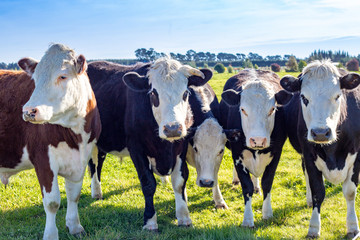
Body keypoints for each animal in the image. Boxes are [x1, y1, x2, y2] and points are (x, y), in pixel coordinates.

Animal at [0, 43, 100, 240]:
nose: (29, 111)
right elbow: (52, 202)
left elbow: (74, 195)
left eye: (63, 76)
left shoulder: (82, 158)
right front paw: (51, 235)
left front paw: (75, 226)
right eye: (35, 79)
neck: (76, 136)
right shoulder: (43, 160)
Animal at [86, 58, 212, 231]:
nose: (172, 128)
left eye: (186, 93)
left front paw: (184, 217)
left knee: (99, 162)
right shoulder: (136, 148)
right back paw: (96, 191)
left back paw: (98, 192)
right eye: (153, 93)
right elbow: (148, 183)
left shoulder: (181, 146)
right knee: (93, 164)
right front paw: (150, 221)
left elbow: (180, 181)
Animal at [219, 69, 292, 227]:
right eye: (242, 109)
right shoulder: (237, 154)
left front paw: (267, 213)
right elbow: (247, 187)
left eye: (272, 109)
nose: (257, 140)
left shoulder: (276, 153)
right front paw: (247, 219)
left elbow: (267, 182)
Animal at [282, 60, 360, 238]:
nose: (320, 133)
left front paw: (352, 226)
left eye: (338, 96)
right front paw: (313, 227)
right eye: (304, 97)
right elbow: (318, 191)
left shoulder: (358, 156)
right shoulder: (309, 155)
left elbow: (350, 191)